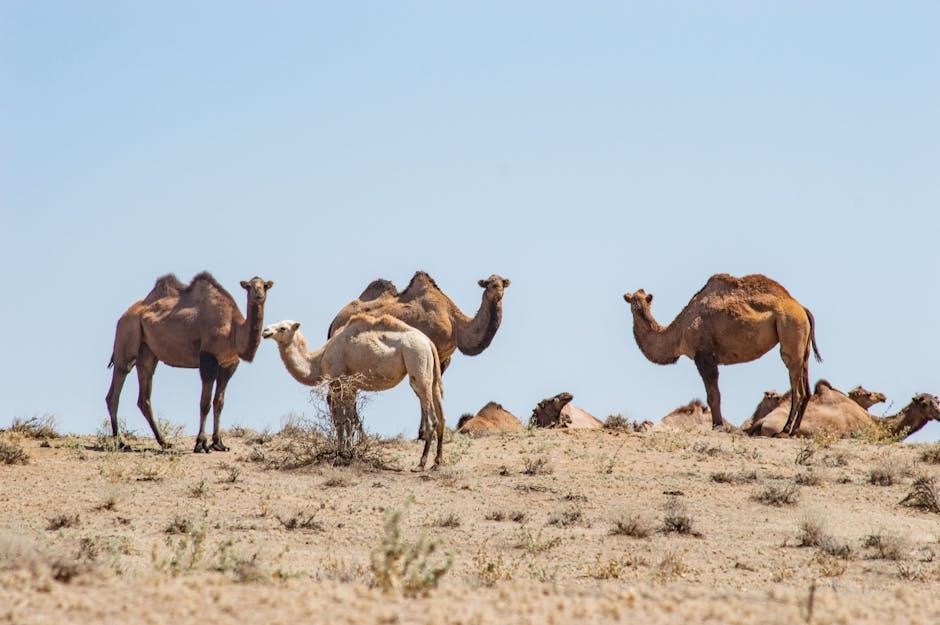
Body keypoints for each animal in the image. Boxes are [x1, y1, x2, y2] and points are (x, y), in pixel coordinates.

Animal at [106, 272, 272, 452]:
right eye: (249, 286)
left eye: (264, 286)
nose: (258, 294)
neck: (233, 329)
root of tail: (124, 316)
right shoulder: (208, 358)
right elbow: (205, 403)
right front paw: (201, 444)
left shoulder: (229, 364)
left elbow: (219, 403)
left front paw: (219, 443)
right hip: (126, 336)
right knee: (116, 388)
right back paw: (121, 443)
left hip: (147, 353)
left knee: (144, 395)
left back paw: (164, 442)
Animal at [262, 315, 446, 470]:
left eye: (283, 328)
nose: (265, 331)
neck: (319, 359)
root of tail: (428, 342)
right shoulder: (352, 386)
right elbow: (350, 418)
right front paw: (348, 451)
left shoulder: (339, 382)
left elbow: (342, 420)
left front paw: (342, 454)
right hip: (430, 372)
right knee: (441, 414)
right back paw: (436, 463)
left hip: (416, 362)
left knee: (431, 417)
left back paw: (421, 464)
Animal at [623, 273, 821, 434]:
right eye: (632, 301)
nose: (636, 306)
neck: (678, 333)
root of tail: (802, 308)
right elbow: (714, 395)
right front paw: (718, 425)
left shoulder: (704, 357)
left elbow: (713, 395)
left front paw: (717, 426)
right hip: (803, 346)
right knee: (806, 386)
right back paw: (795, 429)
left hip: (790, 329)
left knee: (797, 387)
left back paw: (785, 429)